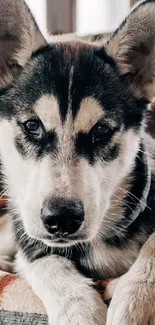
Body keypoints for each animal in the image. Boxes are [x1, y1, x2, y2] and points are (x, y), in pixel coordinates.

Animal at [0, 0, 155, 322]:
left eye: (101, 131)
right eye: (33, 126)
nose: (62, 218)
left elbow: (153, 246)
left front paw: (134, 301)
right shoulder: (32, 242)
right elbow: (49, 265)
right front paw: (79, 312)